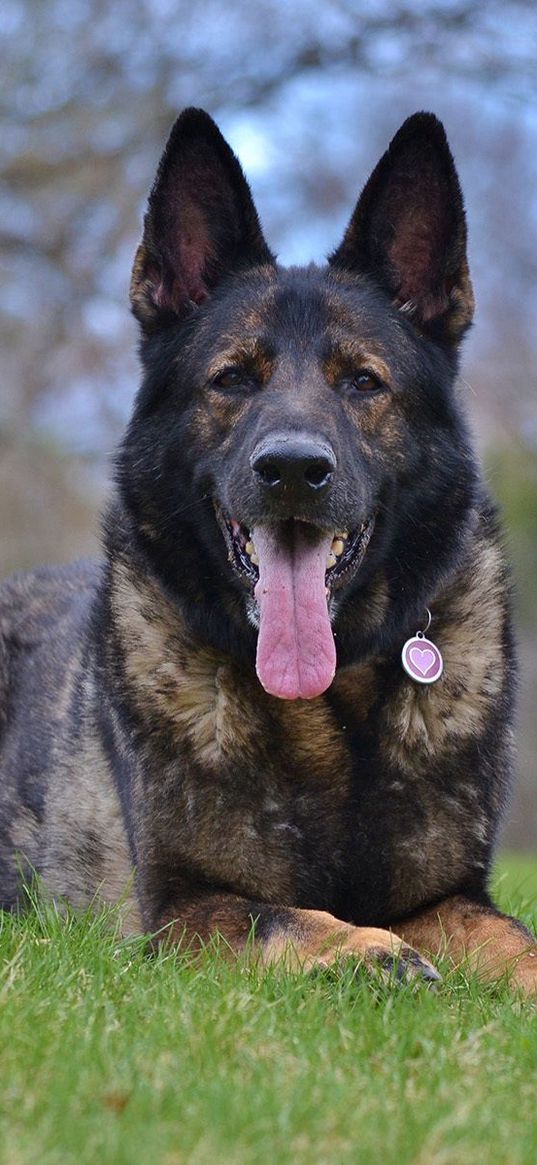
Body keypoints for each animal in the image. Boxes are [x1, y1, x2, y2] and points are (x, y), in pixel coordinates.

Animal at [1, 109, 535, 987]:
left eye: (362, 382)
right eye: (232, 379)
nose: (291, 469)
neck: (331, 705)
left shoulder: (451, 897)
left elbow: (516, 940)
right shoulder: (178, 911)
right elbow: (280, 917)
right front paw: (364, 947)